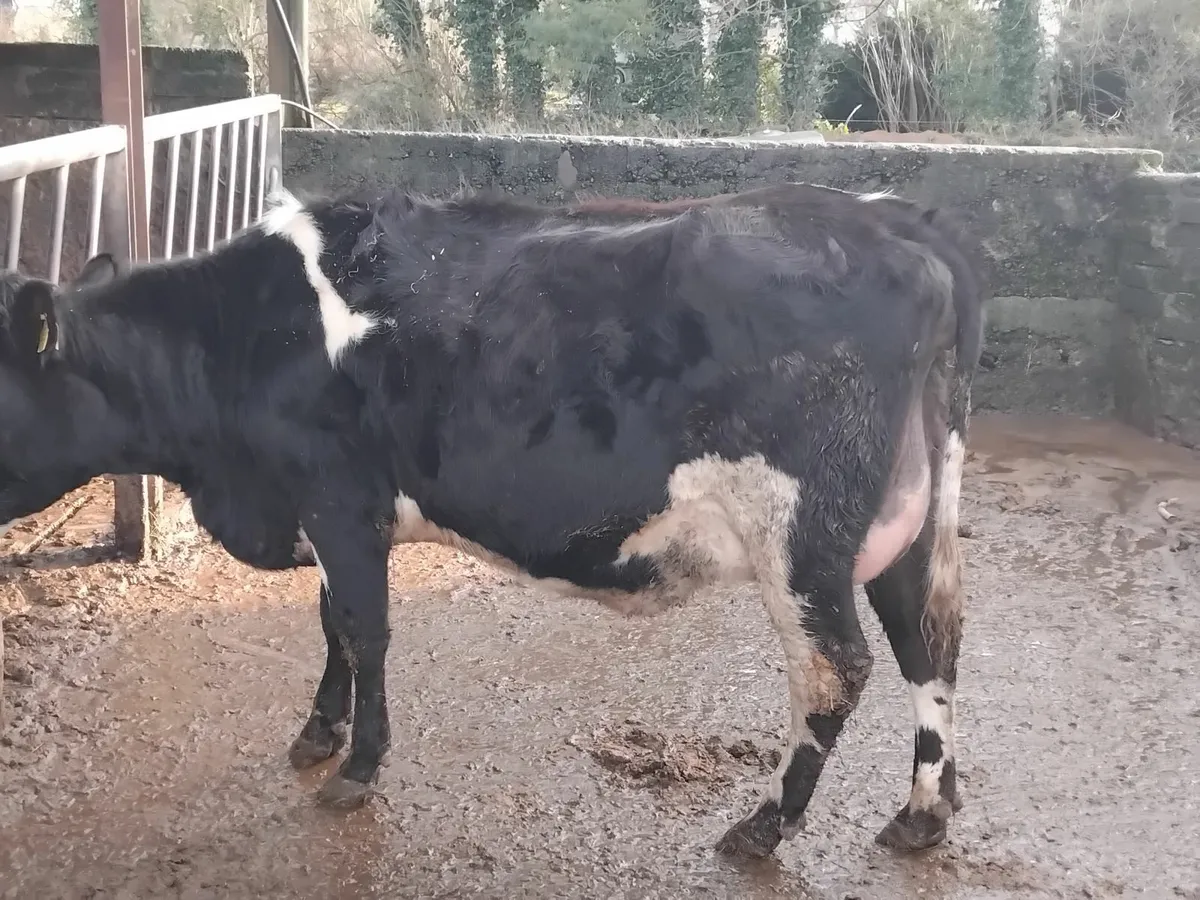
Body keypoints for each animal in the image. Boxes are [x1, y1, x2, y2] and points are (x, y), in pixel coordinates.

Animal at [0, 181, 985, 858]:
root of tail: (896, 224)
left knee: (837, 668)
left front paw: (357, 766)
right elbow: (328, 620)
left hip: (800, 532)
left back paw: (765, 825)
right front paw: (319, 731)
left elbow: (363, 629)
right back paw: (922, 813)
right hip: (913, 514)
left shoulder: (338, 496)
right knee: (929, 640)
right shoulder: (329, 513)